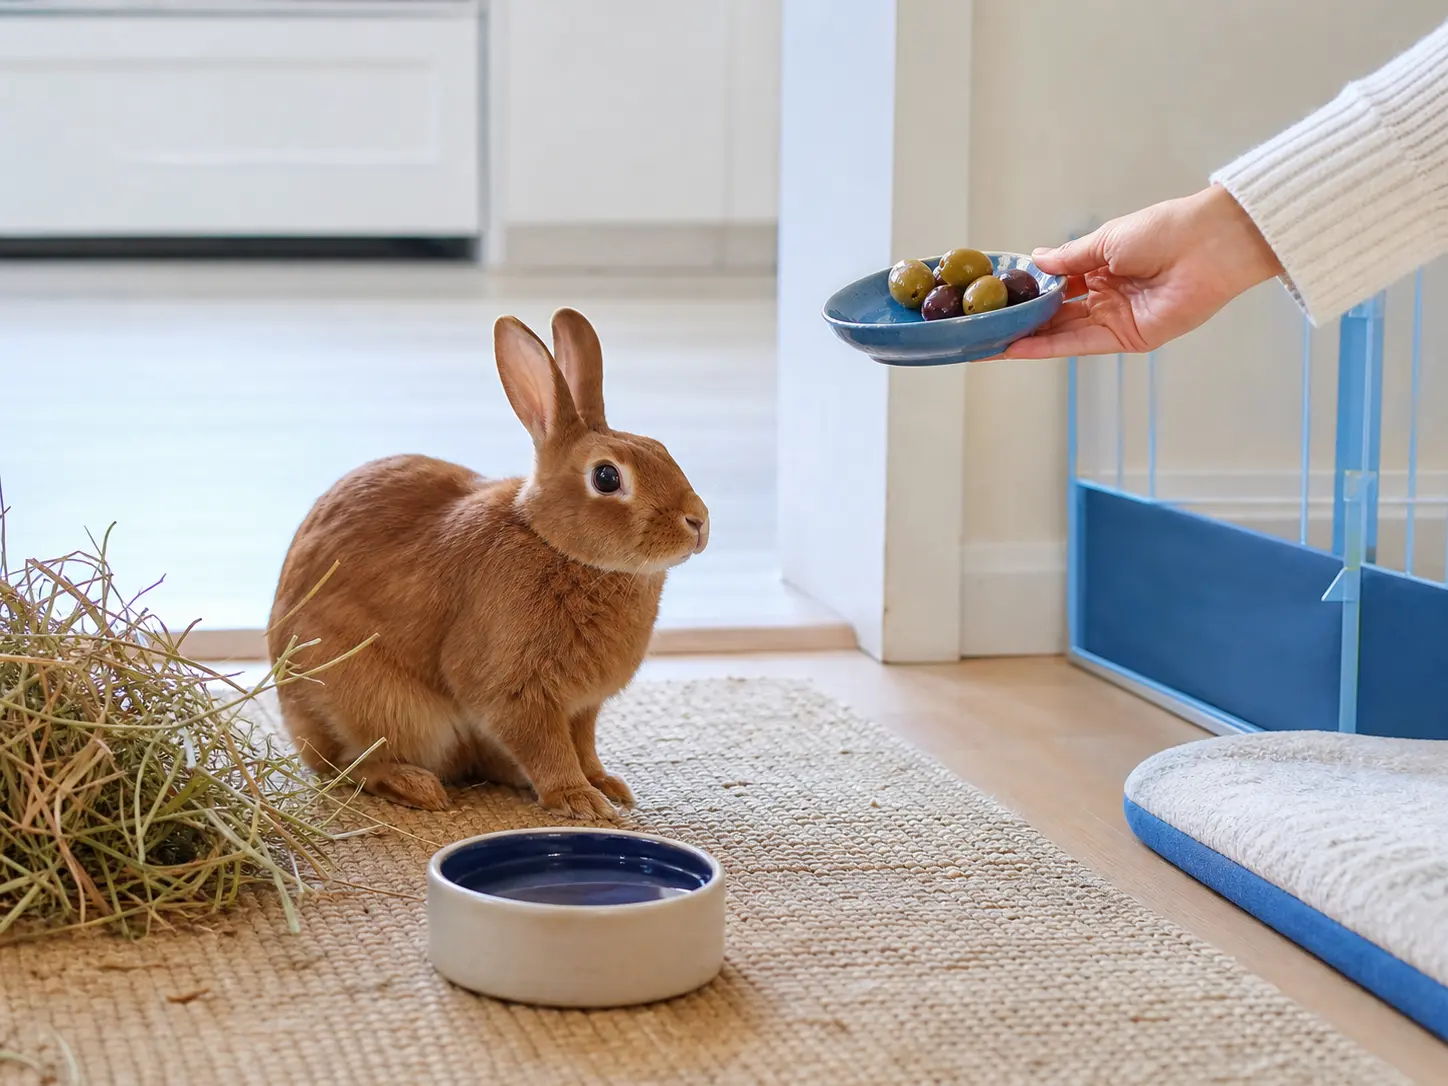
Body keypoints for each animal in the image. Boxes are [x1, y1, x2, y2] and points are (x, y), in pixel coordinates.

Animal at [266, 308, 709, 818]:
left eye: (661, 448)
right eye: (606, 477)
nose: (698, 522)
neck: (554, 544)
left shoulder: (582, 707)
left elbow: (583, 744)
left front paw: (605, 785)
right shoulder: (517, 694)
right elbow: (548, 747)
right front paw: (578, 800)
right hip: (373, 710)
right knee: (347, 764)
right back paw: (415, 786)